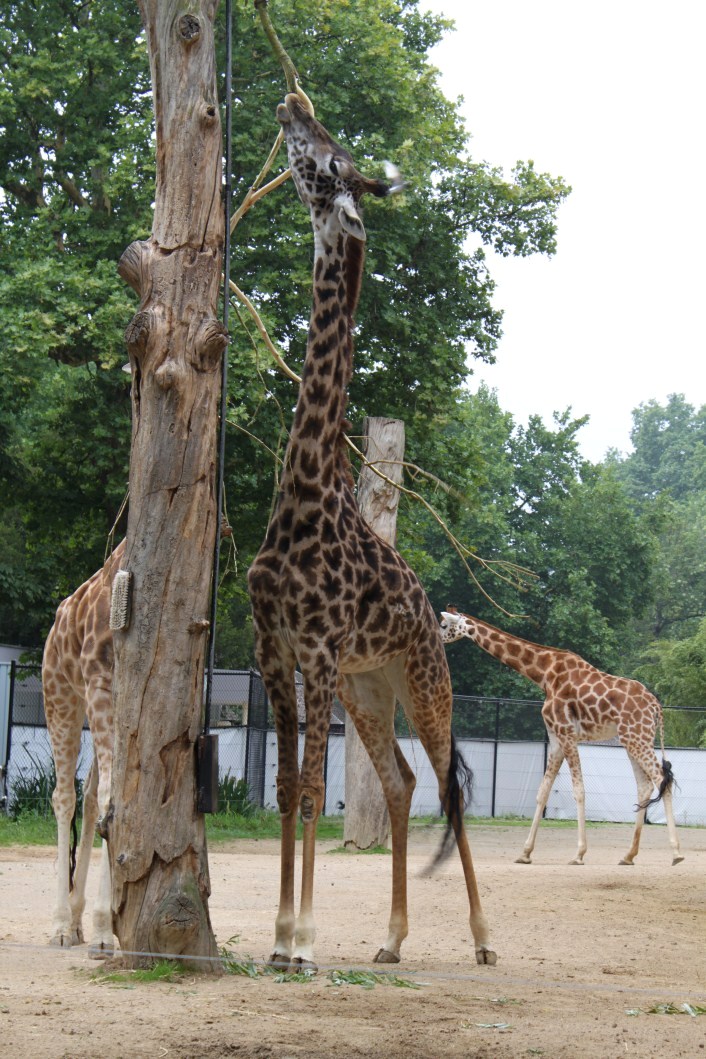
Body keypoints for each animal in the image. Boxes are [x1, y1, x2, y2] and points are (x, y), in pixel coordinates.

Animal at [247, 91, 496, 971]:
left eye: (331, 160)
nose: (294, 102)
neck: (305, 486)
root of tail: (432, 614)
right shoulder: (275, 648)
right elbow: (290, 787)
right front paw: (280, 935)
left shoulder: (317, 650)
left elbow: (314, 790)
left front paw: (304, 941)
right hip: (371, 686)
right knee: (400, 783)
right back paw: (390, 938)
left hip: (422, 681)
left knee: (444, 786)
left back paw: (484, 939)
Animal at [439, 607, 684, 867]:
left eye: (444, 625)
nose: (436, 637)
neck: (544, 674)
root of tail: (656, 706)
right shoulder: (555, 738)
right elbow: (542, 792)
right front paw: (525, 853)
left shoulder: (566, 732)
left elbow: (579, 790)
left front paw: (578, 854)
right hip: (632, 740)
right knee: (645, 786)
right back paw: (628, 856)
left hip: (638, 737)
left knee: (661, 779)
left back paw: (676, 853)